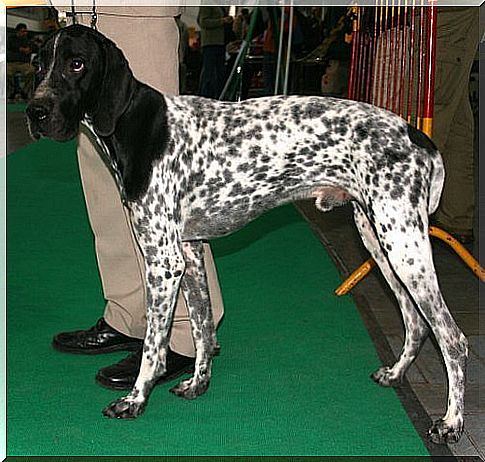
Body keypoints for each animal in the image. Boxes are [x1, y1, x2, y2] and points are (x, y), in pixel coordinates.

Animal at [27, 25, 468, 444]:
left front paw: (136, 399)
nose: (35, 112)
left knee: (453, 339)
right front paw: (197, 382)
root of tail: (415, 133)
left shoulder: (164, 262)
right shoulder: (190, 254)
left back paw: (451, 423)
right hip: (380, 241)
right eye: (38, 63)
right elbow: (203, 328)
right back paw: (395, 374)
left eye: (77, 64)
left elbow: (154, 347)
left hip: (404, 245)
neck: (139, 126)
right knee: (416, 323)